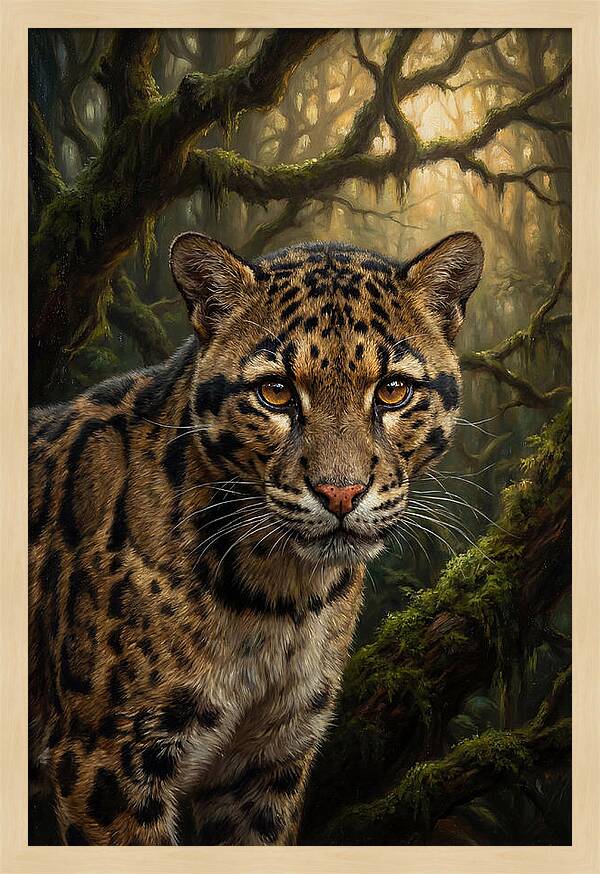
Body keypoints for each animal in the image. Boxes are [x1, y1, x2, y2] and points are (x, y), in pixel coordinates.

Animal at [28, 229, 483, 845]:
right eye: (276, 392)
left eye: (392, 391)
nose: (340, 493)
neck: (280, 596)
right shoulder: (107, 760)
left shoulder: (270, 760)